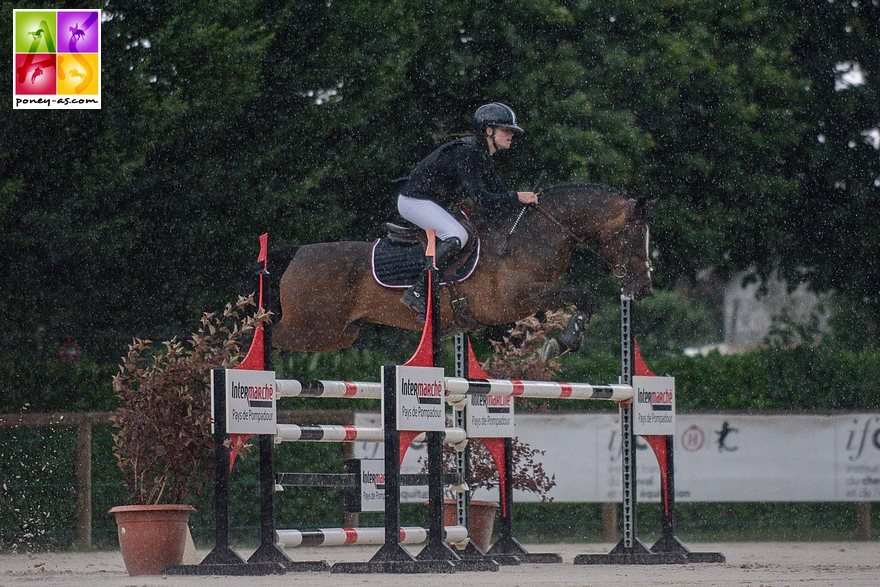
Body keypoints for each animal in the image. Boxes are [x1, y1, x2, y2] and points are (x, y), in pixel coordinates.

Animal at [266, 183, 652, 354]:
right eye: (635, 235)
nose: (644, 288)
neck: (533, 235)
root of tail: (299, 253)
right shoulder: (517, 299)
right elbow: (581, 294)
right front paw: (563, 343)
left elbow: (584, 299)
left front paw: (565, 342)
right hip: (310, 328)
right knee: (268, 333)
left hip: (339, 334)